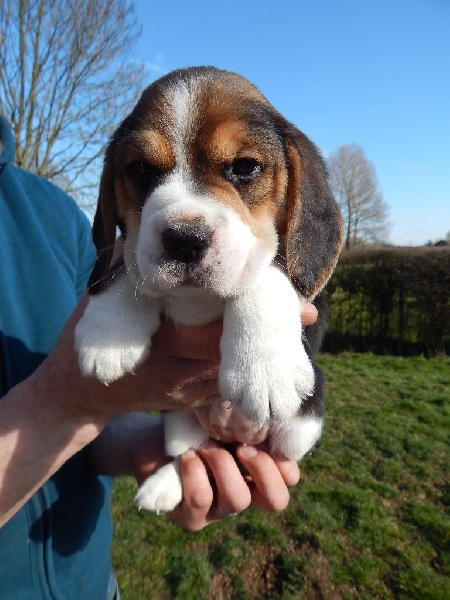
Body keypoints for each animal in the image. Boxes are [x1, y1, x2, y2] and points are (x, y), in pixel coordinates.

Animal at [75, 66, 343, 513]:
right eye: (141, 169)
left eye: (245, 167)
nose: (183, 240)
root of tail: (231, 437)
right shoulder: (135, 244)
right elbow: (129, 258)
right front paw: (108, 333)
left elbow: (268, 267)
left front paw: (263, 368)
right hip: (174, 418)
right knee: (193, 454)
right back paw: (164, 485)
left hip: (304, 419)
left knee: (266, 454)